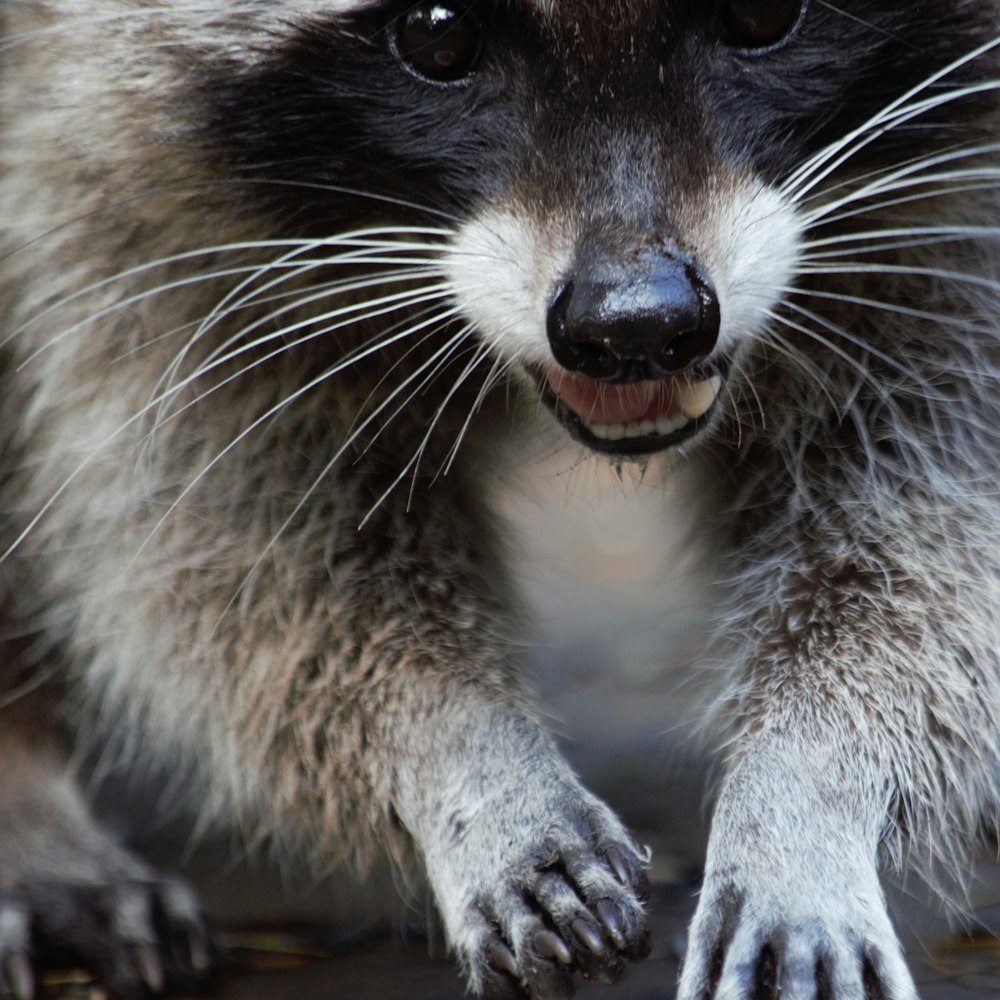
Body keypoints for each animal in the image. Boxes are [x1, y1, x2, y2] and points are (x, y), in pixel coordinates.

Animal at [1, 0, 1000, 996]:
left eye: (762, 14)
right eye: (437, 34)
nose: (639, 327)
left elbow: (930, 485)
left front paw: (808, 791)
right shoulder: (134, 204)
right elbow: (227, 529)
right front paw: (464, 754)